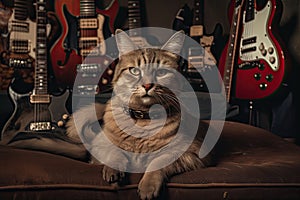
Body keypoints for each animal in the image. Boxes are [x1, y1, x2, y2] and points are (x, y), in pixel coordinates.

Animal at [67, 28, 216, 199]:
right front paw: (114, 170)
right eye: (134, 70)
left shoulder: (189, 154)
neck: (142, 119)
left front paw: (148, 186)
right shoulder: (100, 146)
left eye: (161, 72)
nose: (147, 85)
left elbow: (157, 162)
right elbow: (115, 153)